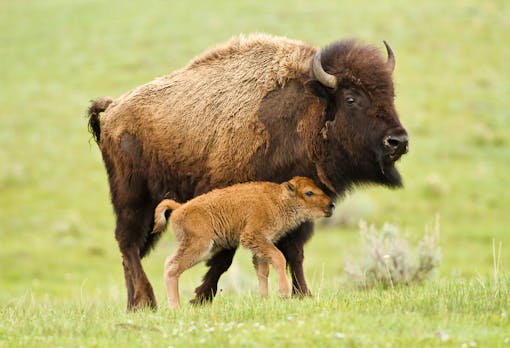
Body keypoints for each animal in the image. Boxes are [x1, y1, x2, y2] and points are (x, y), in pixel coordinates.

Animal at [152, 177, 334, 308]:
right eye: (309, 193)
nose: (331, 205)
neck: (278, 199)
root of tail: (179, 208)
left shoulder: (261, 245)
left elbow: (263, 271)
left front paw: (264, 300)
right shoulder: (253, 236)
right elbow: (279, 258)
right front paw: (283, 293)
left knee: (169, 262)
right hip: (200, 247)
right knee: (172, 268)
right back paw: (176, 308)